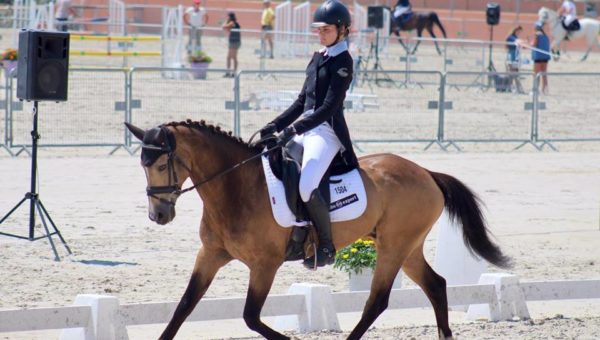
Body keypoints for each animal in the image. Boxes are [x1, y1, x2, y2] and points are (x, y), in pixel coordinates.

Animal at [125, 120, 510, 340]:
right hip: (407, 248)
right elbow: (183, 307)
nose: (158, 215)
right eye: (142, 166)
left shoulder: (265, 265)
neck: (236, 188)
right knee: (436, 285)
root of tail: (426, 172)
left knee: (378, 300)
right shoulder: (210, 255)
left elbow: (251, 317)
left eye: (161, 163)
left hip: (394, 247)